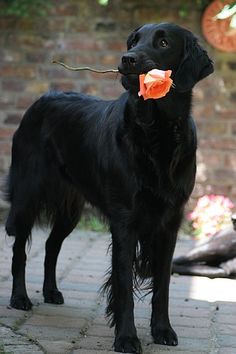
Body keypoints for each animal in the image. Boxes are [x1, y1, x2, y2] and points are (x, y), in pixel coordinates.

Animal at [5, 23, 213, 352]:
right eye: (133, 41)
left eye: (163, 42)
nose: (127, 59)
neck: (156, 132)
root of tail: (40, 101)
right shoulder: (125, 221)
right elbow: (124, 286)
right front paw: (127, 337)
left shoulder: (170, 222)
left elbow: (163, 285)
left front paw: (163, 330)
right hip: (28, 195)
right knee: (19, 249)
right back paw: (20, 297)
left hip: (71, 210)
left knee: (51, 245)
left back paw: (51, 292)